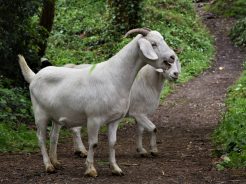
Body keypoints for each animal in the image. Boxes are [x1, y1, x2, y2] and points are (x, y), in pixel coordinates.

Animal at [17, 28, 179, 177]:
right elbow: (93, 143)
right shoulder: (94, 118)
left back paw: (55, 162)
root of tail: (34, 76)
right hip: (40, 114)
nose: (172, 56)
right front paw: (90, 169)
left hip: (56, 116)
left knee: (53, 137)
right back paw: (48, 165)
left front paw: (115, 168)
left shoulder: (115, 119)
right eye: (153, 43)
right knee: (41, 138)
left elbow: (113, 143)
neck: (114, 77)